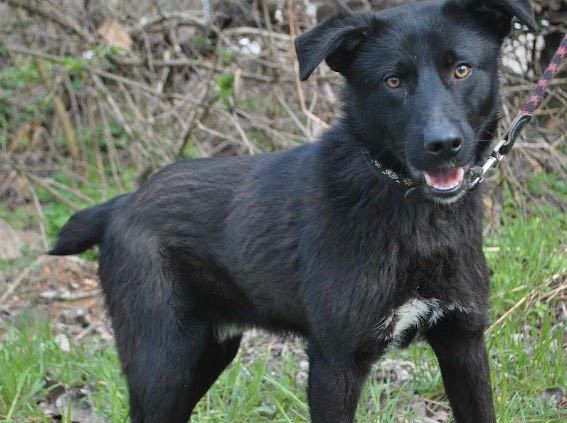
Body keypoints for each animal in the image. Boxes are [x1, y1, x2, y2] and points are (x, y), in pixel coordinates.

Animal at [48, 1, 536, 422]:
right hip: (163, 361)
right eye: (393, 82)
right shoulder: (335, 363)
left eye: (461, 69)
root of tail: (123, 203)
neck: (416, 216)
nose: (443, 145)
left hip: (206, 353)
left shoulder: (463, 342)